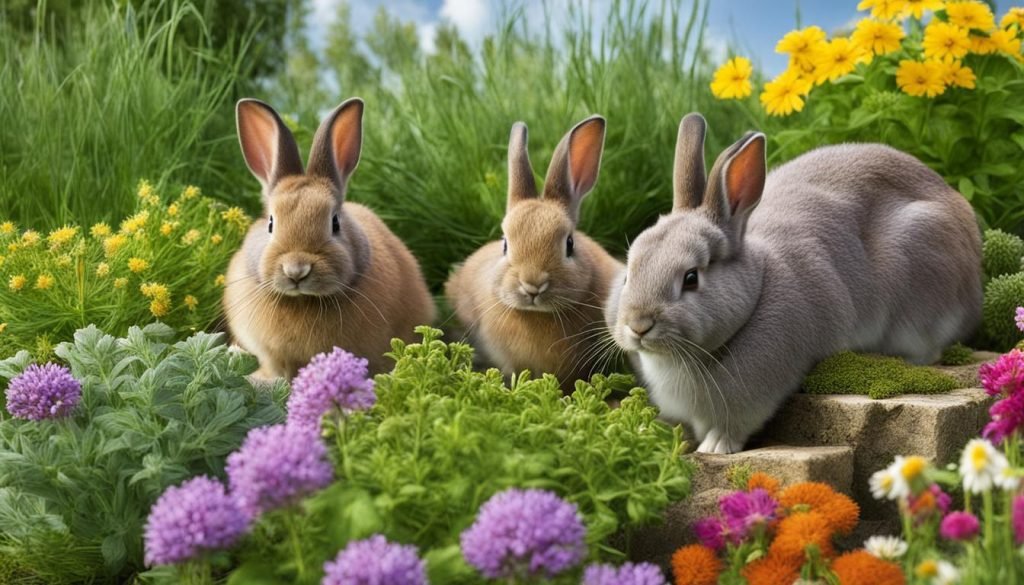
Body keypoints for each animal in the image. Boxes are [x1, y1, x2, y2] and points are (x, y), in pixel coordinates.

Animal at [605, 113, 982, 454]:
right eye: (629, 271)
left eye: (691, 278)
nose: (638, 325)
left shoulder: (753, 398)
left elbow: (732, 427)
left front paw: (713, 447)